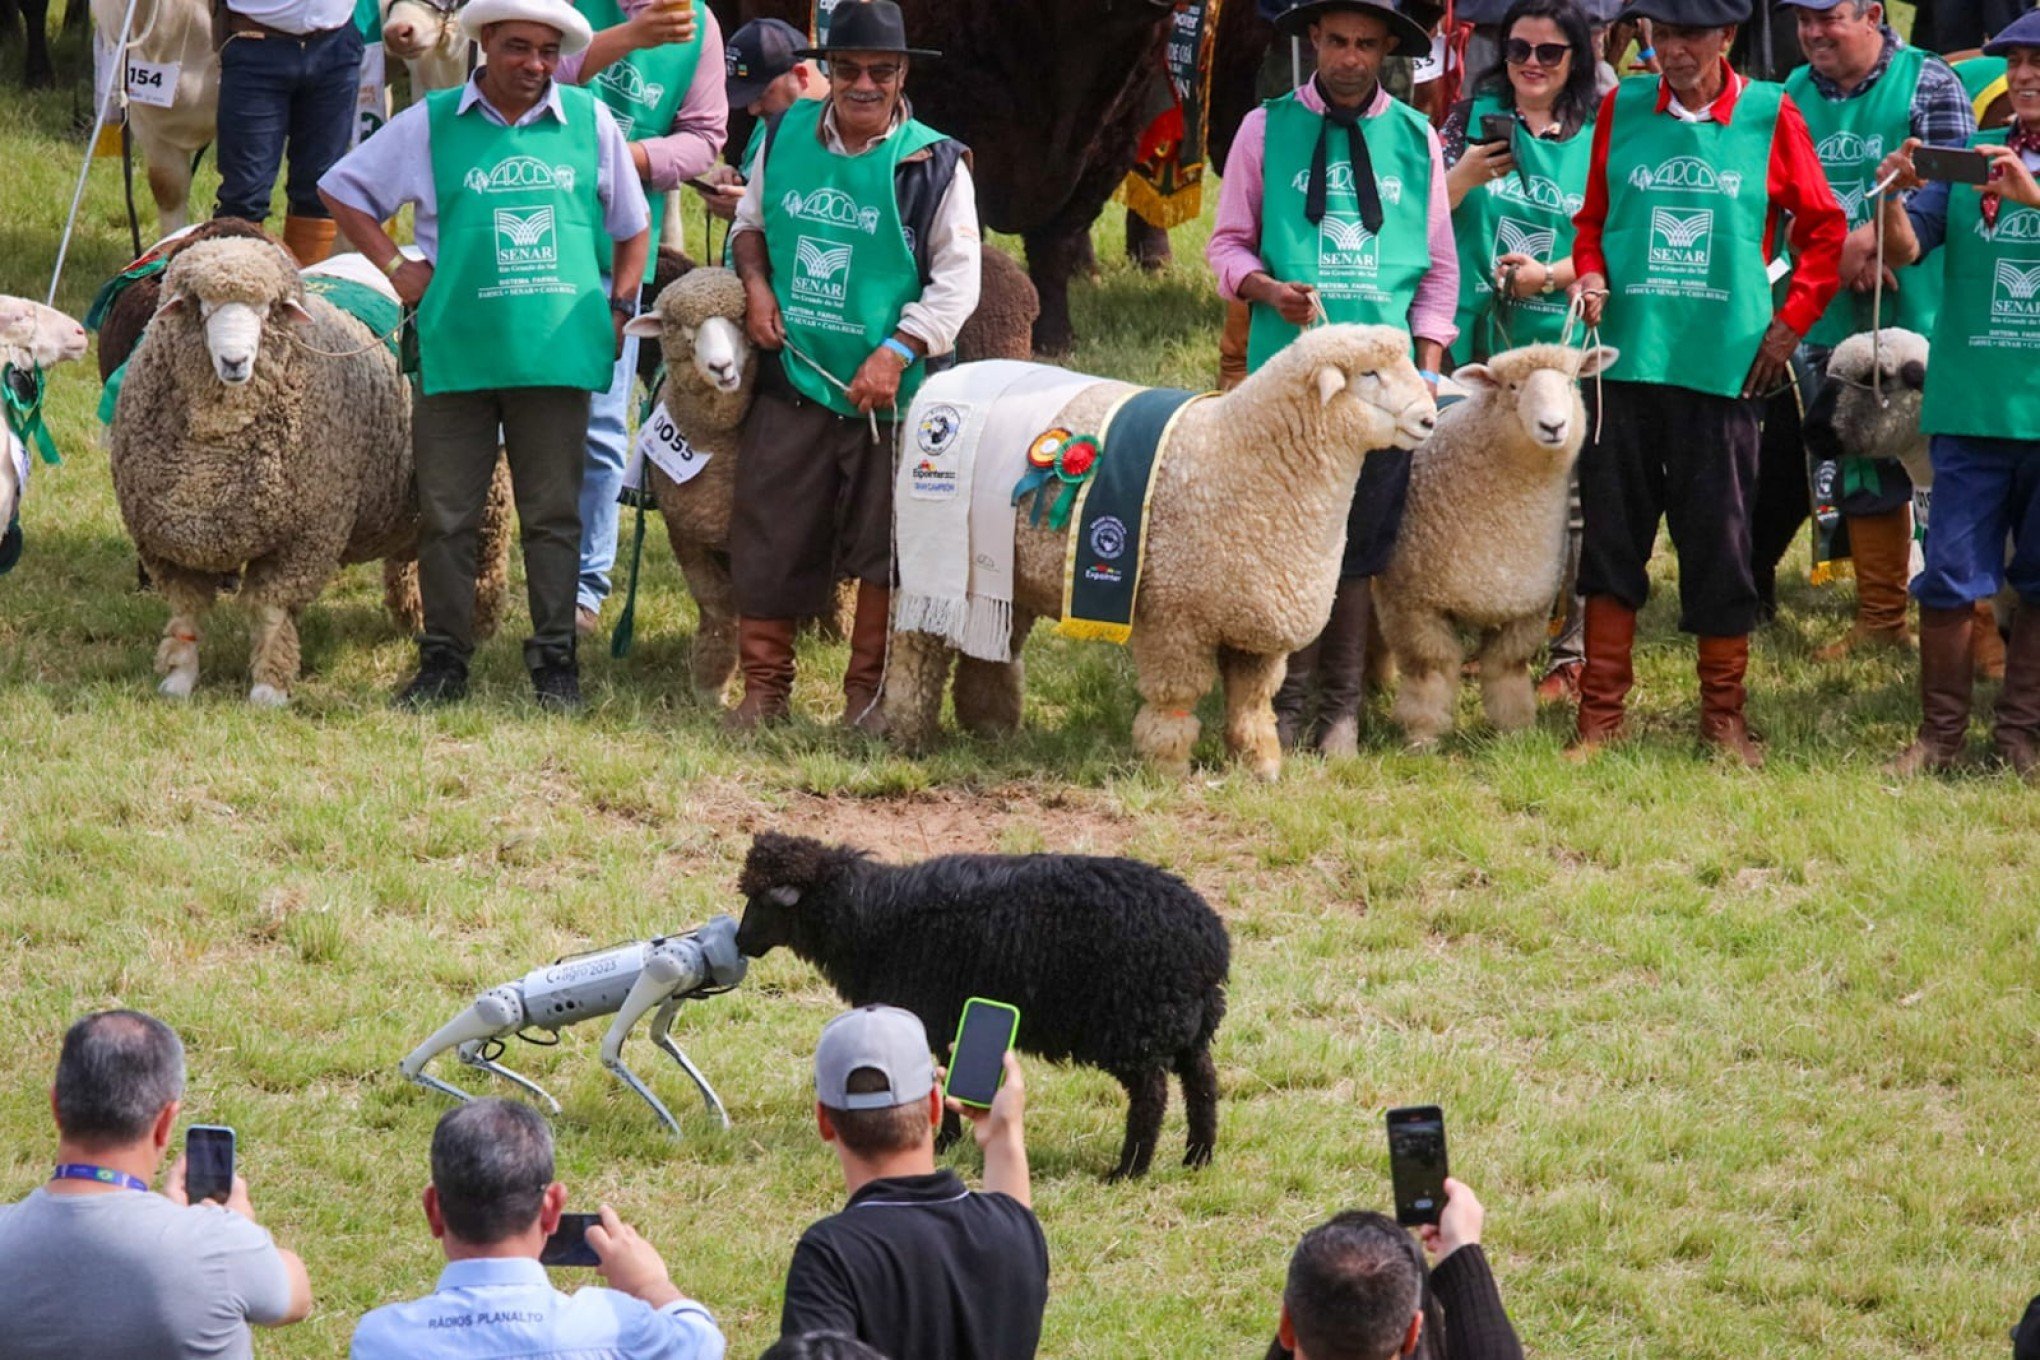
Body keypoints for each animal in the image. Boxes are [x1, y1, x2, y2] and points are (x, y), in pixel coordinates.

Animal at [107, 236, 514, 701]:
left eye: (268, 309)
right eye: (201, 306)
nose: (234, 361)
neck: (216, 441)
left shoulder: (304, 536)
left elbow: (270, 610)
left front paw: (268, 688)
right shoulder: (168, 543)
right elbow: (186, 613)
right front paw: (178, 678)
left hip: (487, 484)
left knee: (485, 556)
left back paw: (478, 628)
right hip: (403, 492)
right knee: (410, 552)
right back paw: (412, 614)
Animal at [399, 921, 750, 1133]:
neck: (696, 952)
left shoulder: (675, 991)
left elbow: (659, 1036)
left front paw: (716, 1116)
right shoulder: (664, 968)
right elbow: (610, 1051)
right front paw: (673, 1129)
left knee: (467, 1051)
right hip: (503, 1009)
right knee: (432, 1054)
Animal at [742, 831, 1232, 1182]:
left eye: (764, 901)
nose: (741, 941)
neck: (867, 919)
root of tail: (1209, 940)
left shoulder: (929, 1013)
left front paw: (942, 1141)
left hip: (1136, 1023)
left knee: (1152, 1095)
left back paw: (1129, 1169)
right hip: (1187, 1024)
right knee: (1203, 1082)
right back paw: (1198, 1156)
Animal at [885, 324, 1444, 782]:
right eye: (1369, 374)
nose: (1428, 420)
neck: (1243, 458)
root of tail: (944, 380)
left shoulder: (1257, 626)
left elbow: (1251, 702)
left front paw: (1260, 765)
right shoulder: (1175, 615)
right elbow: (1177, 696)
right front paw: (1167, 764)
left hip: (1009, 573)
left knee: (992, 648)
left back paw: (992, 728)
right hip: (931, 555)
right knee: (918, 651)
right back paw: (907, 735)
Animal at [1370, 340, 1623, 746]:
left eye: (1571, 382)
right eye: (1512, 387)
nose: (1553, 426)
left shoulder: (1525, 607)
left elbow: (1507, 669)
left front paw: (1515, 731)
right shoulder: (1412, 603)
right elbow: (1430, 669)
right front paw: (1423, 733)